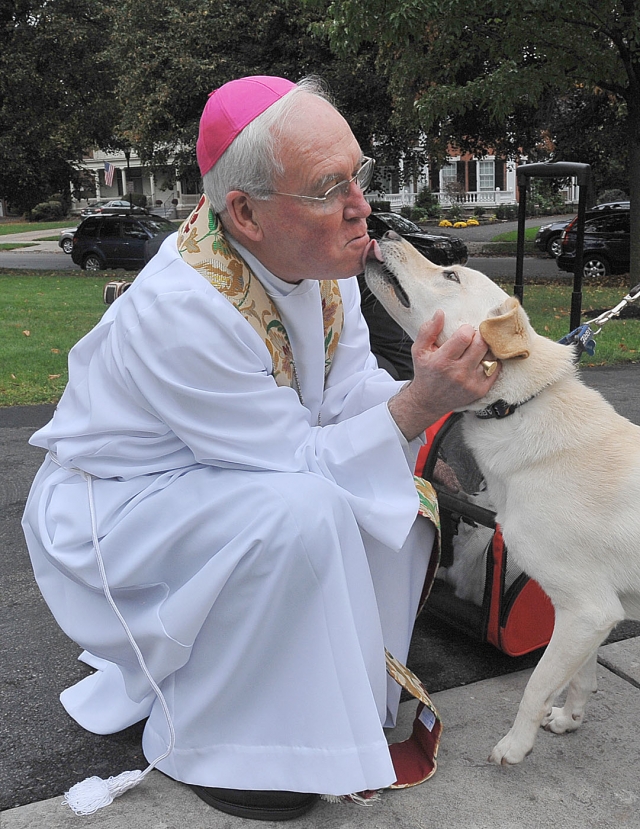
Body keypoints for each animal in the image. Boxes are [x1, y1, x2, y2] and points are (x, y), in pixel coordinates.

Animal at [364, 230, 640, 768]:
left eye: (450, 275)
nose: (383, 229)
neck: (516, 406)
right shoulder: (592, 612)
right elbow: (582, 676)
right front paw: (570, 719)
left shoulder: (587, 609)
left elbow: (536, 685)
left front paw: (515, 746)